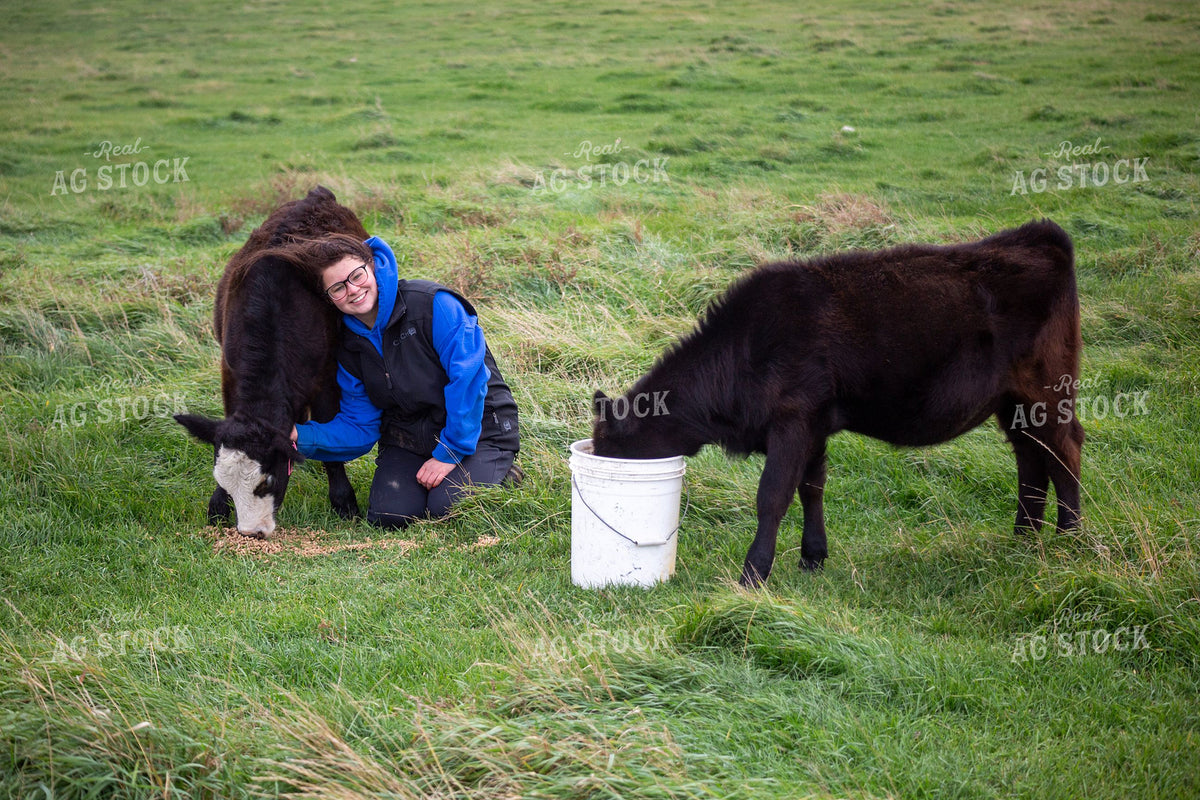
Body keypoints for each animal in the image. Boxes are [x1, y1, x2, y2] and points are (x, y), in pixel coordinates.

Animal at [175, 186, 363, 537]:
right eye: (225, 483)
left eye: (267, 482)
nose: (252, 532)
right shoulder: (229, 373)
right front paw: (217, 507)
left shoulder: (327, 379)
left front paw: (344, 502)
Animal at [592, 219, 1084, 586]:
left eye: (612, 455)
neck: (746, 348)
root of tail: (1039, 235)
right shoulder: (815, 422)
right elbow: (812, 486)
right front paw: (812, 557)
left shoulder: (793, 417)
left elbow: (773, 495)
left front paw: (753, 574)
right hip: (1012, 404)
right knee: (1031, 458)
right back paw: (1024, 540)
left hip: (1046, 391)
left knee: (1064, 450)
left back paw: (1072, 540)